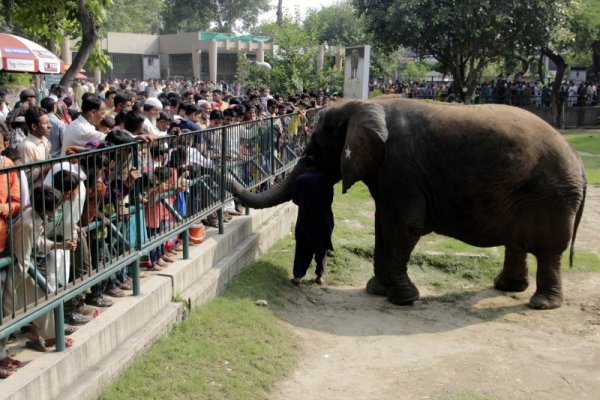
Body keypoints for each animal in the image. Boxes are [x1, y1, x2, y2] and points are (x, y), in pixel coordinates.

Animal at [233, 97, 584, 310]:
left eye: (313, 152)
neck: (366, 106)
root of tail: (578, 160)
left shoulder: (401, 166)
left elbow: (404, 226)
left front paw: (401, 299)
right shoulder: (391, 172)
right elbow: (383, 224)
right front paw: (377, 290)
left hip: (550, 195)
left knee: (548, 249)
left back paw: (541, 303)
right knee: (519, 240)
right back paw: (507, 288)